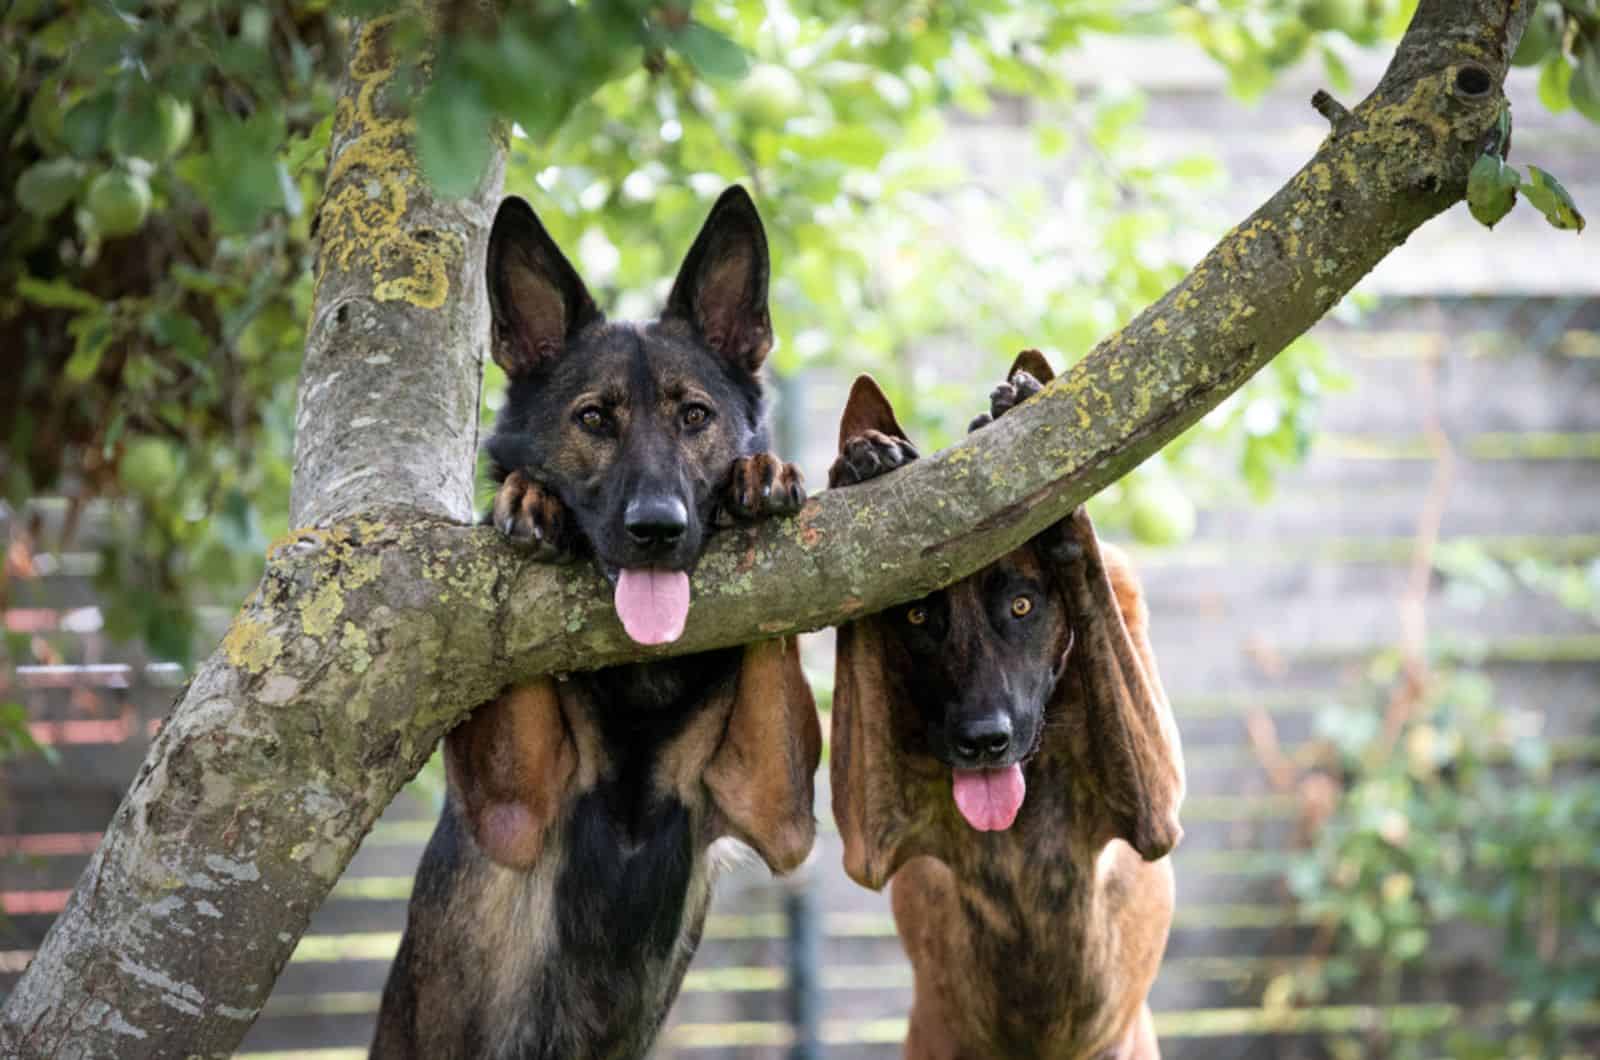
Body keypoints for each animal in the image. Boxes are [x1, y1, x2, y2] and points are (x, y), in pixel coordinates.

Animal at [374, 186, 819, 1056]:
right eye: (593, 419)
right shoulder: (513, 806)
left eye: (694, 416)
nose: (658, 528)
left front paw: (759, 475)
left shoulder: (774, 805)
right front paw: (528, 499)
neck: (640, 686)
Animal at [825, 352, 1190, 1056]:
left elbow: (1086, 563)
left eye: (1021, 605)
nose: (983, 741)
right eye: (919, 617)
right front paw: (865, 461)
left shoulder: (1155, 807)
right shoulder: (870, 836)